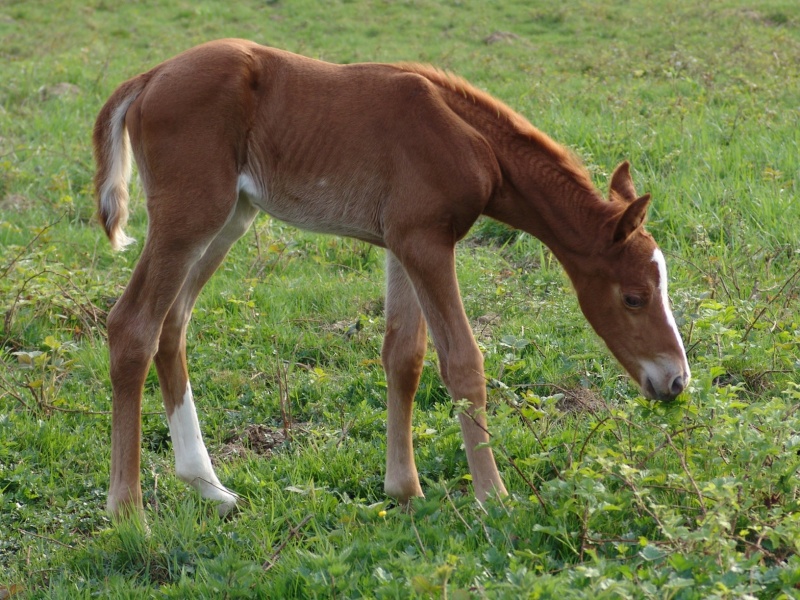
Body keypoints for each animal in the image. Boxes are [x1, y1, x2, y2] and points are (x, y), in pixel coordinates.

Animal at [94, 38, 692, 516]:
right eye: (634, 297)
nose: (676, 381)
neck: (469, 139)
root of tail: (149, 78)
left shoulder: (403, 244)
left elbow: (404, 356)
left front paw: (403, 489)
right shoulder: (427, 243)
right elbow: (463, 362)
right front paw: (494, 497)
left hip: (229, 220)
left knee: (172, 325)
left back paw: (208, 486)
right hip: (190, 217)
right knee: (132, 325)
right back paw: (128, 512)